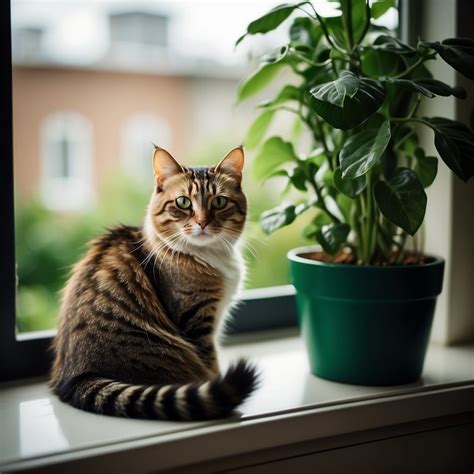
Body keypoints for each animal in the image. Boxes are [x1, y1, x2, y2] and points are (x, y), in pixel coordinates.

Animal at [49, 146, 260, 420]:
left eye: (219, 202)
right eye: (183, 202)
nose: (202, 222)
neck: (209, 255)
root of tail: (78, 376)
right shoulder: (196, 320)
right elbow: (211, 365)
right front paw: (214, 382)